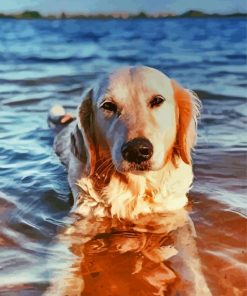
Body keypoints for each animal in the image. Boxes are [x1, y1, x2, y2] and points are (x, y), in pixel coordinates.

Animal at [47, 66, 211, 294]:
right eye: (108, 106)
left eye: (157, 100)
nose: (136, 150)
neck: (135, 188)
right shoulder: (81, 219)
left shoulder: (175, 217)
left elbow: (189, 263)